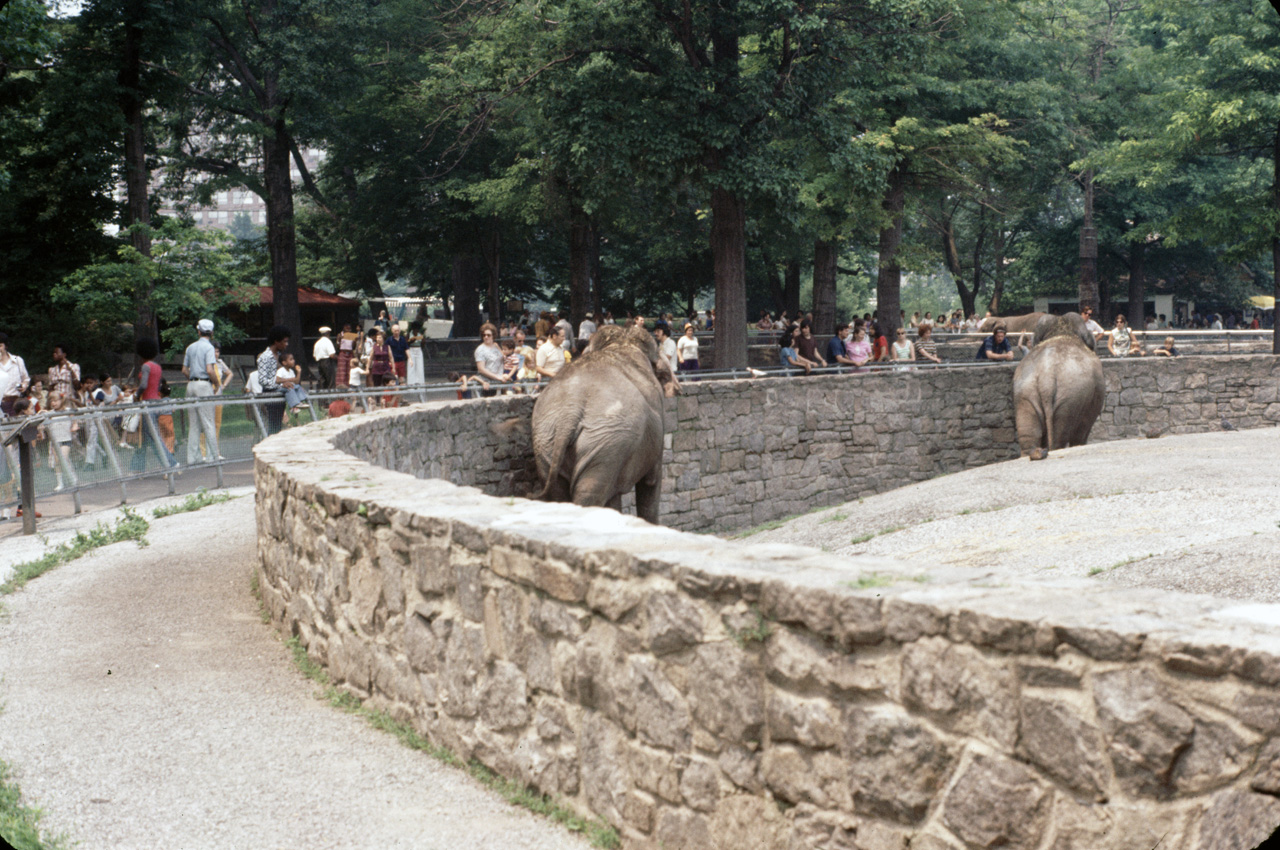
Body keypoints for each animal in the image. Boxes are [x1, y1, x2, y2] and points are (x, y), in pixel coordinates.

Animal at [527, 323, 675, 522]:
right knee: (590, 494)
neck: (622, 344)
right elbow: (651, 483)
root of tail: (570, 411)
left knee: (560, 494)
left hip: (547, 441)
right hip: (610, 442)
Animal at [1013, 312, 1105, 458]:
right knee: (1059, 437)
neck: (1060, 332)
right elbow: (1083, 429)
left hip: (1025, 394)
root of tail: (1046, 376)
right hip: (1070, 399)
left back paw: (1033, 453)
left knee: (1029, 435)